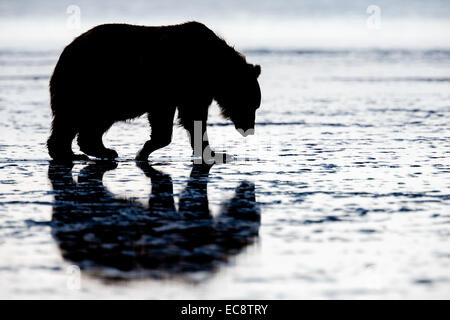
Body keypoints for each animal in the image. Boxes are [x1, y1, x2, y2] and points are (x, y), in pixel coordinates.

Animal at [46, 22, 260, 161]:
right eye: (252, 104)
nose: (249, 128)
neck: (215, 68)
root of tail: (64, 52)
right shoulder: (182, 83)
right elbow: (184, 118)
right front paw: (144, 151)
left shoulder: (187, 91)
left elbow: (189, 119)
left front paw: (213, 153)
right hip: (93, 86)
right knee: (74, 118)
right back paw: (84, 153)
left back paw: (84, 151)